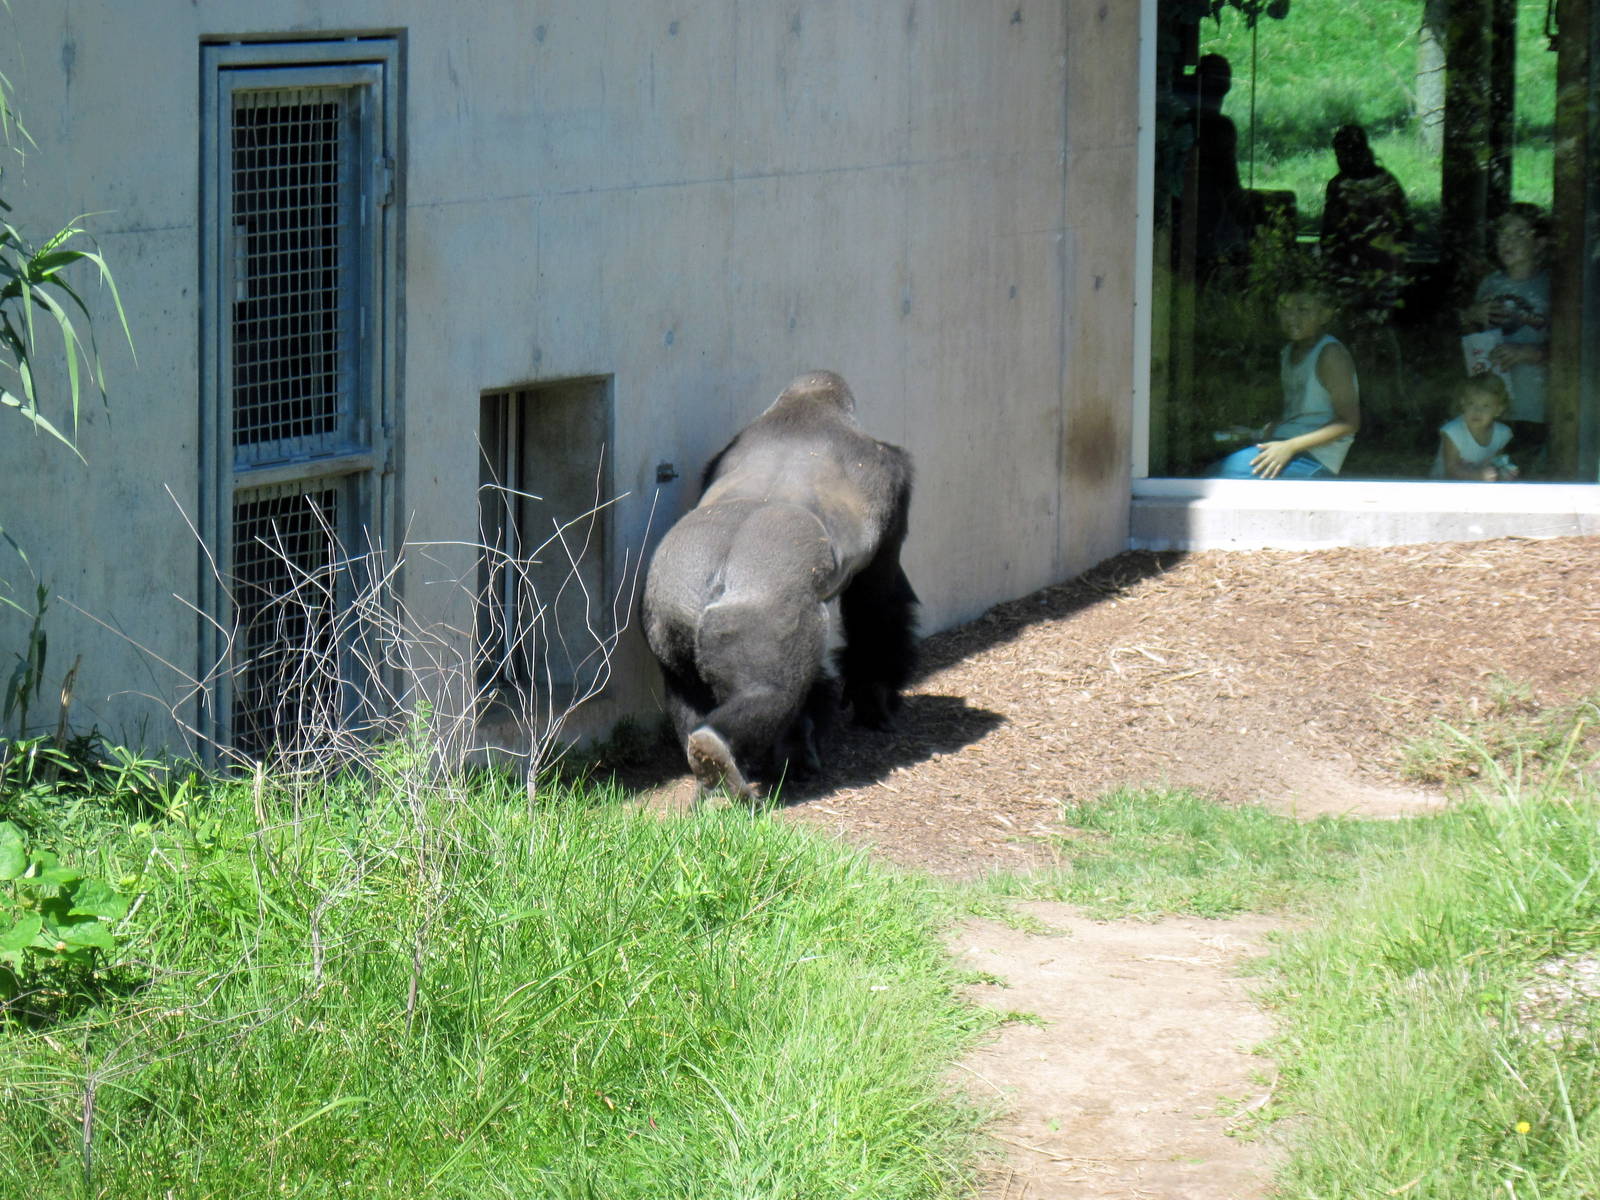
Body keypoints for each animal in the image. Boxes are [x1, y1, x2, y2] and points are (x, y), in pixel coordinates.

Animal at [642, 370, 918, 800]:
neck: (807, 410)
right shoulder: (893, 474)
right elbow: (876, 605)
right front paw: (874, 697)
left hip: (667, 613)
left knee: (686, 687)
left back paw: (711, 772)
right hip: (757, 613)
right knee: (770, 692)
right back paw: (720, 751)